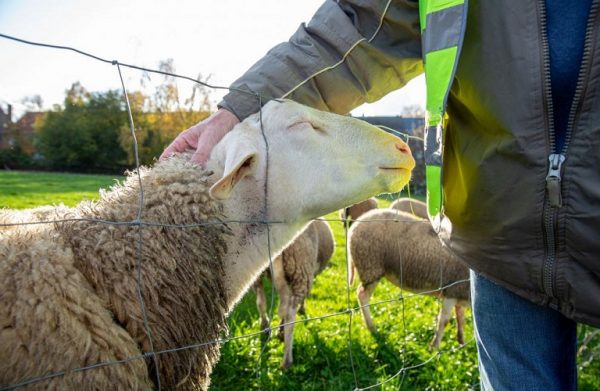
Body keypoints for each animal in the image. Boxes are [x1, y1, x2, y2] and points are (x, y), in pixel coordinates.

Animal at [254, 220, 336, 370]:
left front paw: (279, 330)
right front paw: (302, 310)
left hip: (258, 274)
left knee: (261, 301)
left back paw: (265, 327)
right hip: (301, 269)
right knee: (289, 314)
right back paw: (287, 360)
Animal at [346, 210, 468, 350]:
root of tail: (355, 225)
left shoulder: (460, 293)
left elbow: (460, 318)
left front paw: (461, 341)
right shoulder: (451, 291)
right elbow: (444, 321)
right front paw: (435, 348)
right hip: (370, 266)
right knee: (362, 295)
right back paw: (372, 328)